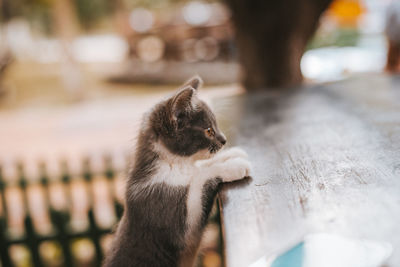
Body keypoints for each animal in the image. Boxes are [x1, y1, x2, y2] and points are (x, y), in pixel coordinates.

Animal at [104, 76, 252, 267]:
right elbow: (199, 178)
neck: (174, 164)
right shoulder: (167, 210)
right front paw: (232, 166)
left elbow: (201, 168)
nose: (224, 140)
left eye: (216, 126)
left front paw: (232, 154)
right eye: (209, 131)